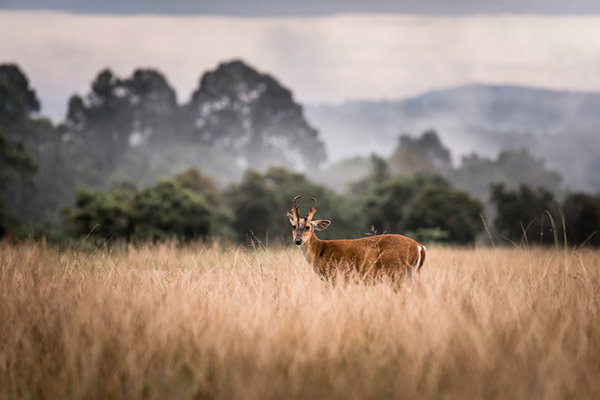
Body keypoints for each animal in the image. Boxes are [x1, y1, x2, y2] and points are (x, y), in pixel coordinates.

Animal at [288, 195, 424, 282]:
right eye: (293, 226)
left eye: (308, 227)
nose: (298, 241)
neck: (320, 251)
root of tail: (420, 247)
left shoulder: (333, 277)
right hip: (411, 273)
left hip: (395, 271)